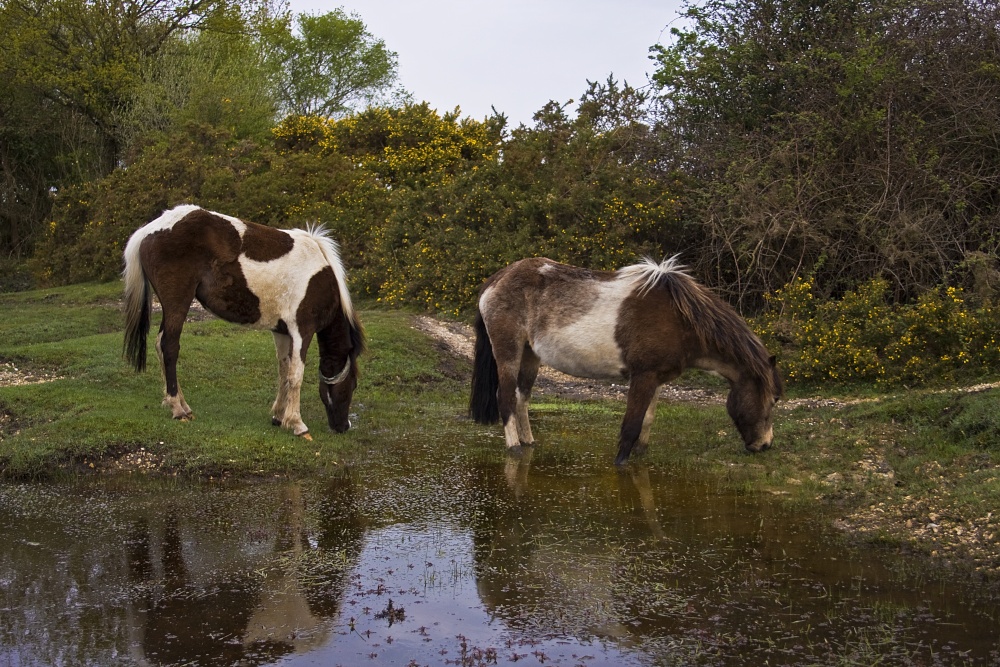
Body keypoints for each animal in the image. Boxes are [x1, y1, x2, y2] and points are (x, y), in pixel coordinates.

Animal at [122, 205, 364, 439]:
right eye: (351, 385)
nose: (343, 426)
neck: (320, 277)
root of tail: (149, 230)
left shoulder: (282, 331)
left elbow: (284, 371)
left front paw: (279, 416)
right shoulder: (301, 330)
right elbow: (296, 375)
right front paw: (297, 424)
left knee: (160, 345)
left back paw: (181, 405)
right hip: (177, 303)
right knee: (169, 346)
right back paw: (177, 408)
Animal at [468, 257, 783, 464]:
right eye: (772, 400)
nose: (766, 444)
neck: (682, 320)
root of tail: (496, 279)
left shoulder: (657, 378)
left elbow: (647, 419)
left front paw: (641, 453)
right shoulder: (642, 376)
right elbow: (631, 425)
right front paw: (622, 462)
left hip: (530, 356)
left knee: (522, 398)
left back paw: (528, 442)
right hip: (508, 352)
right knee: (506, 398)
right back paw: (514, 449)